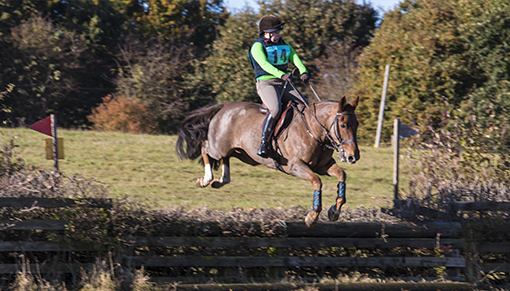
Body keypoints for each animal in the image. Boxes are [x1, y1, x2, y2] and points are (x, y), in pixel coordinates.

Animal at [177, 96, 360, 228]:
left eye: (356, 124)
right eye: (343, 125)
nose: (353, 156)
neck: (314, 129)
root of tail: (224, 106)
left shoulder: (323, 166)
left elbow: (341, 175)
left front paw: (335, 211)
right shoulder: (295, 166)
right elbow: (317, 181)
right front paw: (312, 216)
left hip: (241, 153)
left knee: (225, 158)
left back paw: (220, 180)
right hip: (218, 146)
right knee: (205, 147)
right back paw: (206, 179)